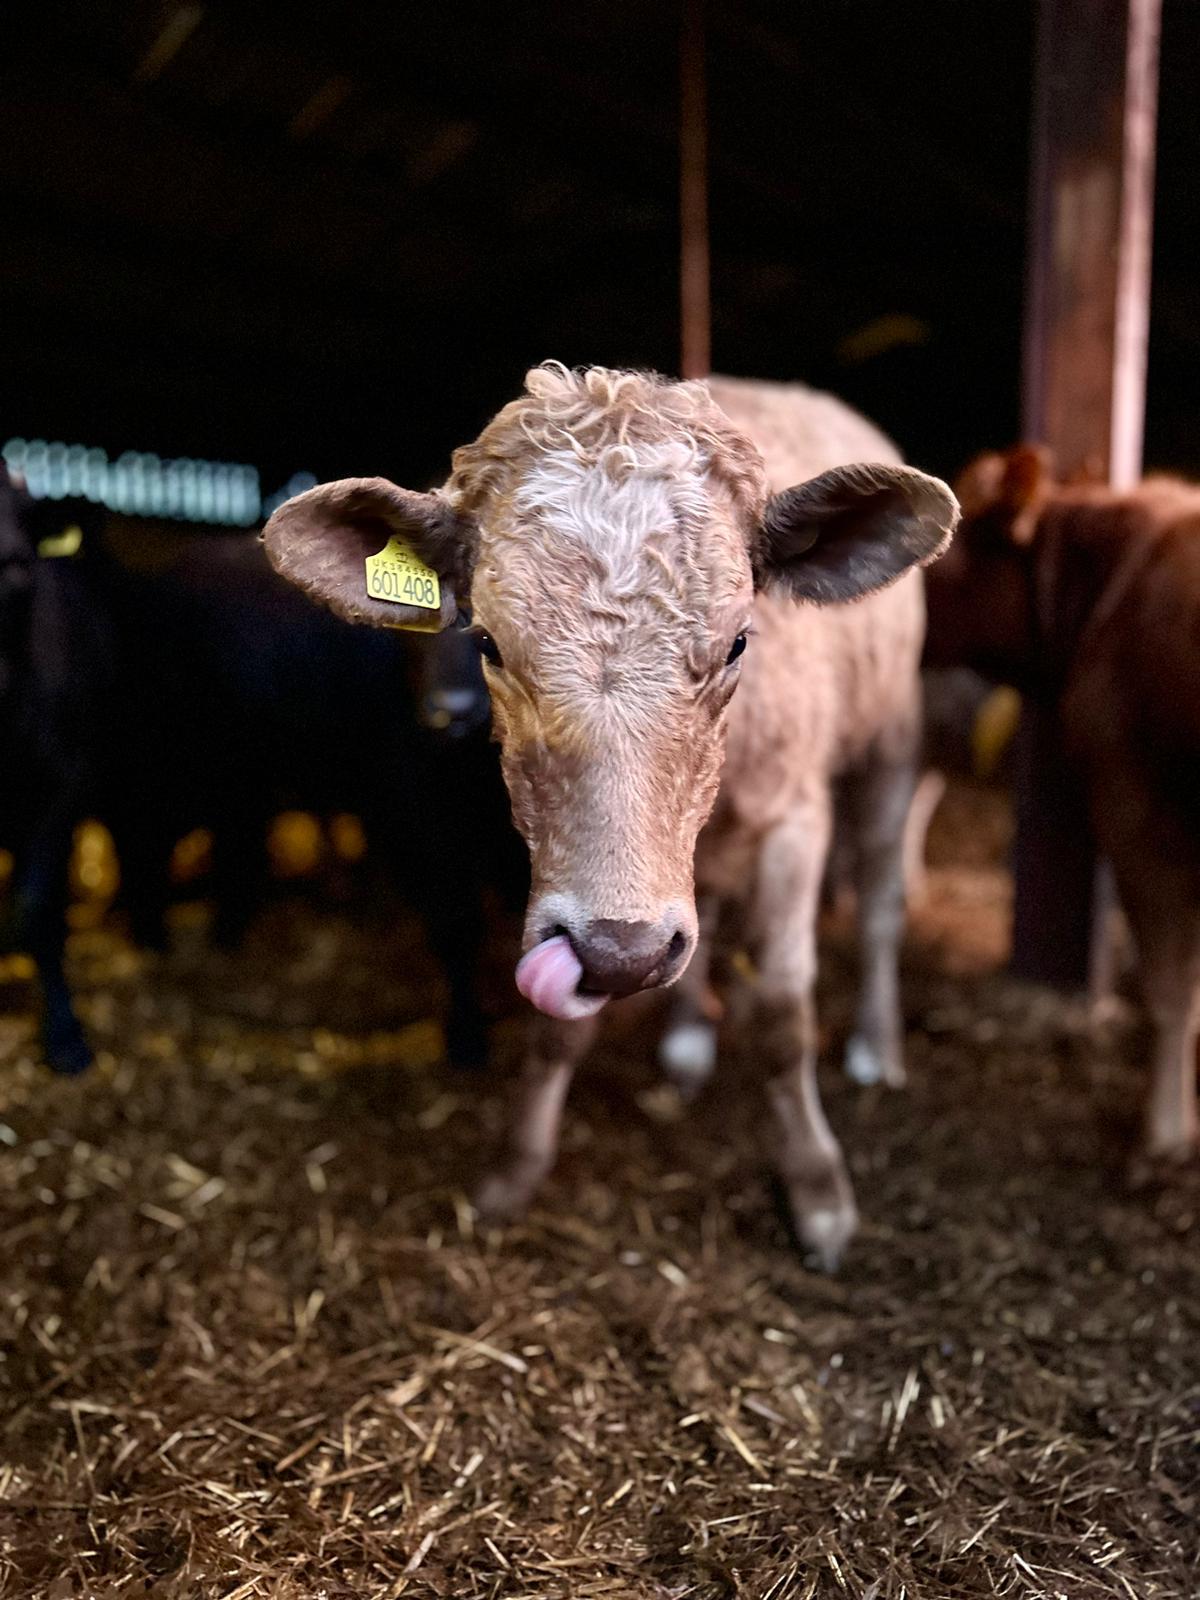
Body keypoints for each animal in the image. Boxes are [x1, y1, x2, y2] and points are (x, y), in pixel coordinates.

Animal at [263, 364, 957, 1265]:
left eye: (738, 641)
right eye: (487, 643)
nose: (623, 953)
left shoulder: (795, 822)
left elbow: (782, 1012)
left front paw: (818, 1193)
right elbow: (557, 1027)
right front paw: (513, 1173)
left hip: (891, 736)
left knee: (878, 897)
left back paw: (875, 1043)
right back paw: (688, 1043)